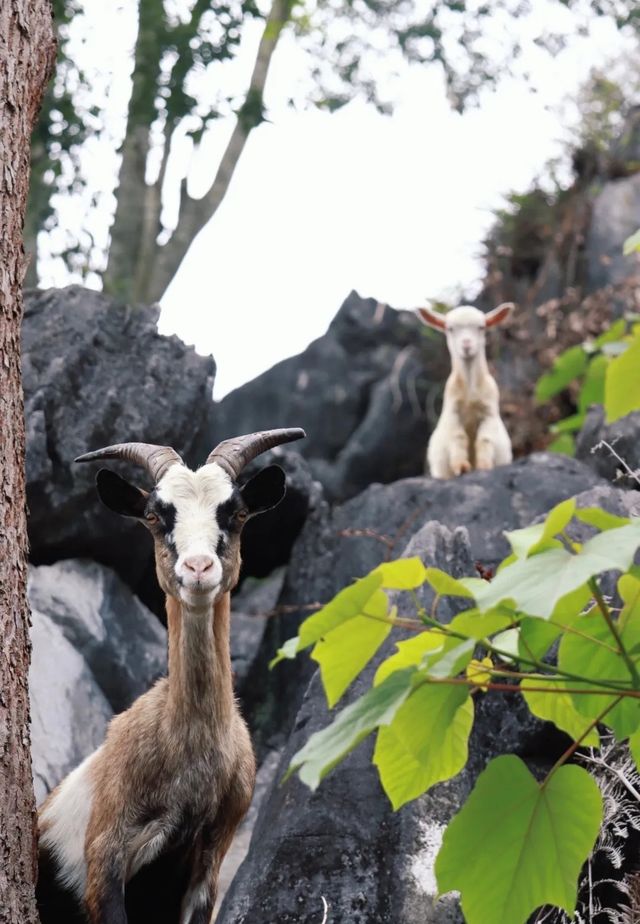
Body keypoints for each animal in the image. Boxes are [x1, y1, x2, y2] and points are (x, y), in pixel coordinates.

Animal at [418, 304, 512, 480]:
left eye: (481, 327)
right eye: (450, 328)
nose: (466, 345)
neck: (470, 393)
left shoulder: (489, 412)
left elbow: (485, 439)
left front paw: (484, 467)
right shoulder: (452, 412)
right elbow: (458, 437)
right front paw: (461, 467)